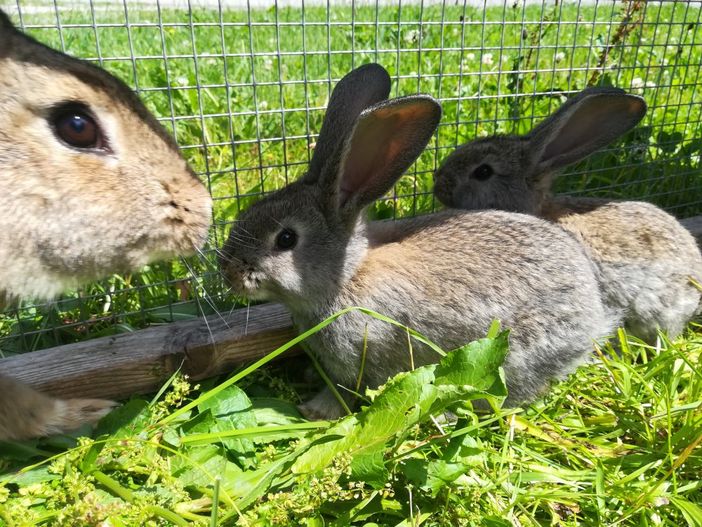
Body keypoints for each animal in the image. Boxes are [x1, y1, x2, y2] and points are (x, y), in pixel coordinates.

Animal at [221, 64, 616, 422]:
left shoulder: (359, 357)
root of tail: (593, 315)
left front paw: (314, 410)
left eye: (286, 239)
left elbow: (344, 390)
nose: (229, 272)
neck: (347, 278)